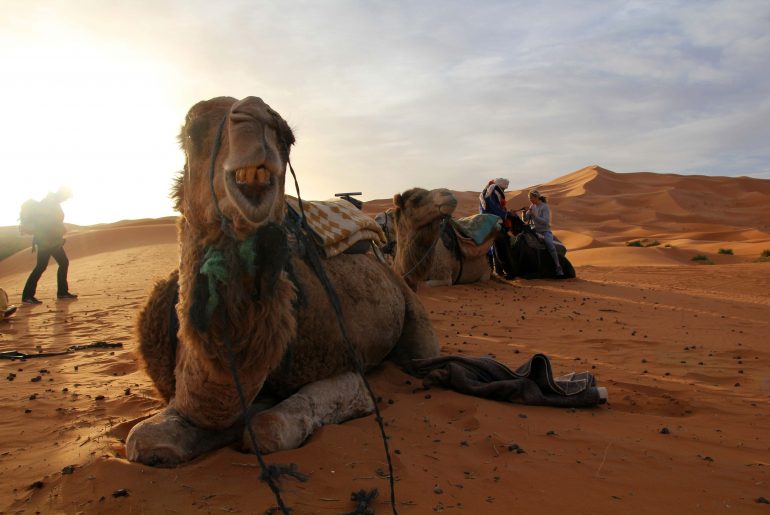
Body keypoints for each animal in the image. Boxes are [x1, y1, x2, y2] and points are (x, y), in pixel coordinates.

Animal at [126, 98, 438, 468]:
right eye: (192, 131)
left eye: (287, 138)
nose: (256, 116)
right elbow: (144, 438)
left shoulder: (350, 370)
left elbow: (268, 428)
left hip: (409, 311)